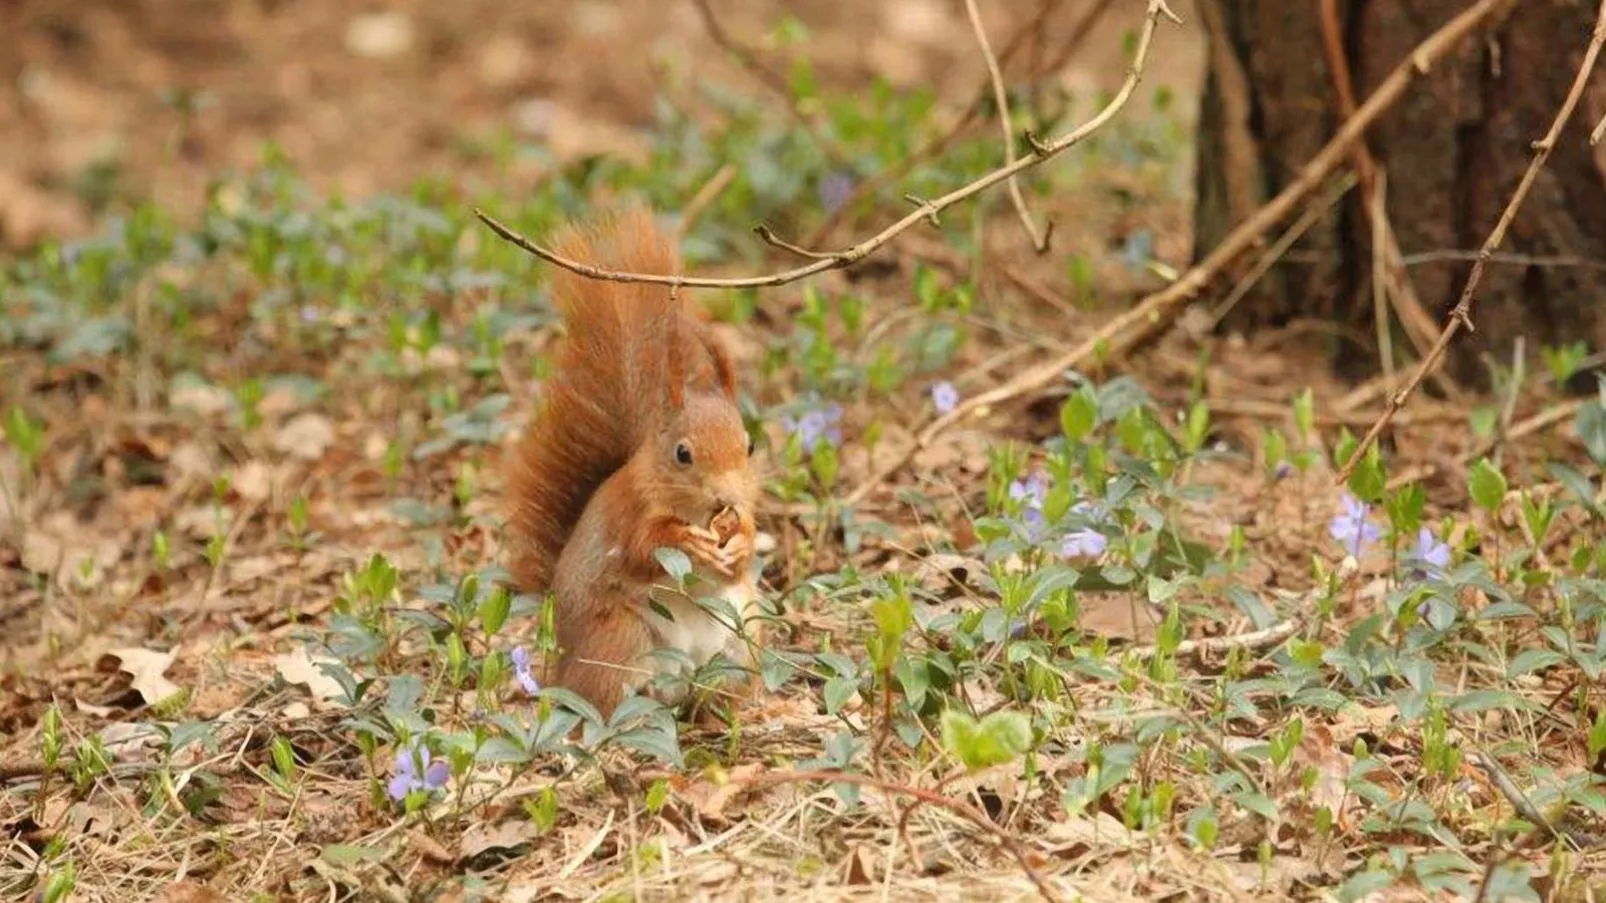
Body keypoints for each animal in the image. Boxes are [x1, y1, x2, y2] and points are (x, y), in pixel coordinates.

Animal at [504, 207, 761, 713]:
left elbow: (745, 547)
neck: (695, 509)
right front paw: (686, 543)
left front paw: (738, 542)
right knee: (601, 703)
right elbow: (643, 549)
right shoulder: (629, 511)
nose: (725, 496)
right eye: (683, 453)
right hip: (619, 641)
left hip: (742, 636)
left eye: (749, 446)